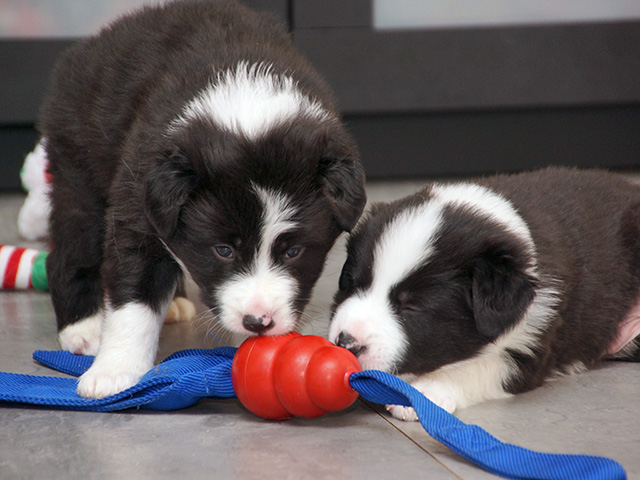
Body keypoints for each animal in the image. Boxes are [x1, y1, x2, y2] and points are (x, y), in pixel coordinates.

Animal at [39, 0, 366, 399]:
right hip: (78, 166)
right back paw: (82, 329)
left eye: (293, 251)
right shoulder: (136, 208)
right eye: (223, 250)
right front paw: (114, 372)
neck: (246, 101)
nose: (258, 321)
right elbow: (133, 298)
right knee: (70, 249)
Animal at [329, 167, 640, 419]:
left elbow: (475, 367)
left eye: (412, 307)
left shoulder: (532, 344)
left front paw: (426, 391)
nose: (346, 343)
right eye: (351, 283)